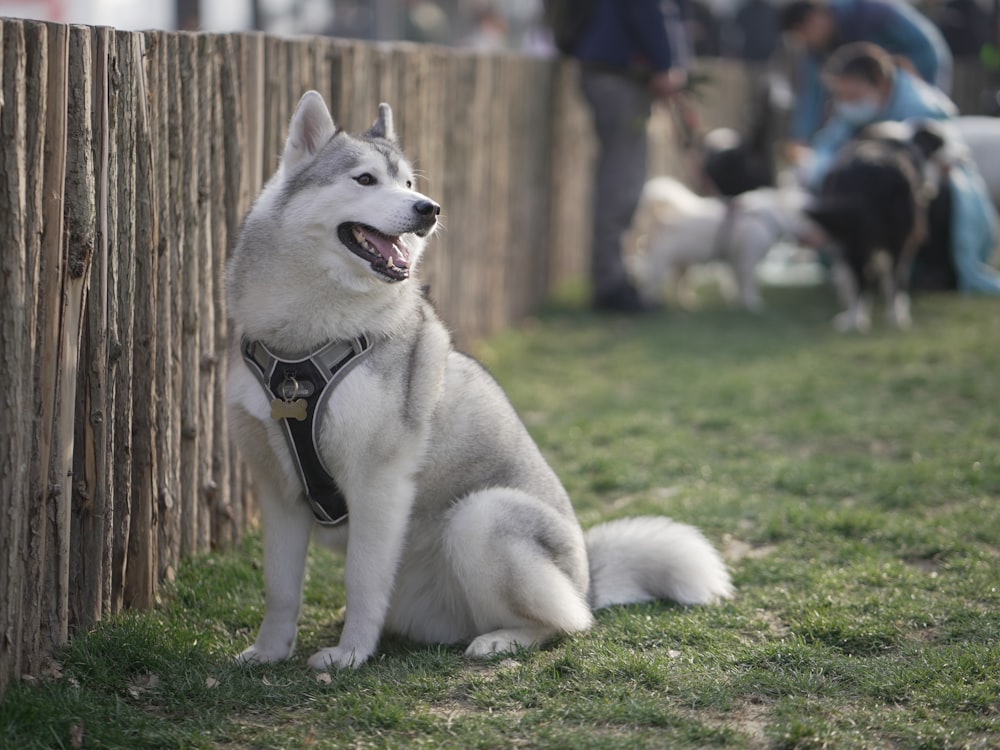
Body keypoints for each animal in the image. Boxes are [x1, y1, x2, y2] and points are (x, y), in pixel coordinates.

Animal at [628, 178, 816, 312]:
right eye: (810, 214)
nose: (816, 232)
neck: (767, 215)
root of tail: (660, 221)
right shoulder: (746, 261)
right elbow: (749, 285)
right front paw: (752, 304)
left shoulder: (734, 263)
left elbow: (734, 284)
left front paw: (736, 302)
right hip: (659, 266)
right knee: (648, 286)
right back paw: (649, 304)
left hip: (683, 266)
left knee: (679, 285)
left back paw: (688, 303)